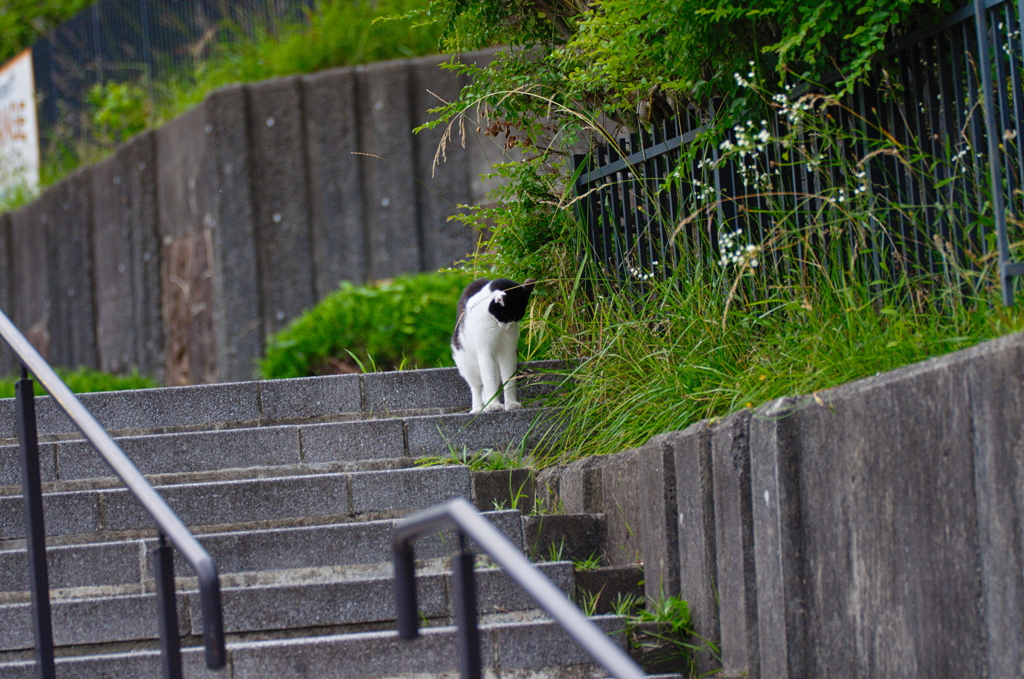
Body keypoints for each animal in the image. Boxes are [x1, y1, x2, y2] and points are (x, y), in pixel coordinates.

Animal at [454, 278, 540, 413]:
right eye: (506, 316)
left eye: (517, 318)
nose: (508, 327)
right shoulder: (485, 352)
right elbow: (489, 380)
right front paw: (493, 405)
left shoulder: (509, 351)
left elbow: (509, 379)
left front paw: (511, 403)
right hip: (467, 363)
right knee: (477, 387)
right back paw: (478, 408)